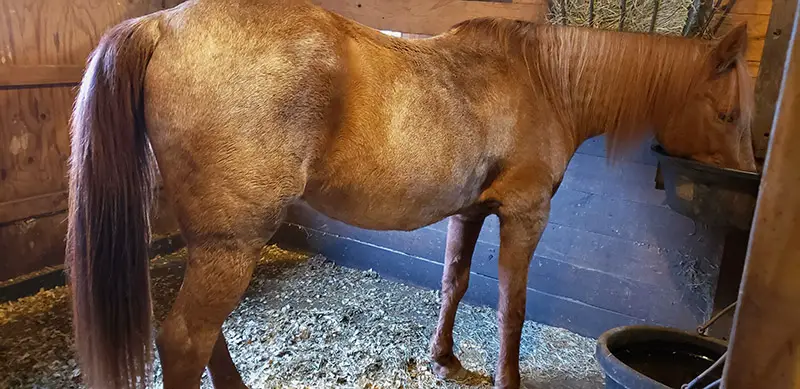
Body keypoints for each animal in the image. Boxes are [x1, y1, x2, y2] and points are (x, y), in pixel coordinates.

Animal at [67, 0, 756, 386]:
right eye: (727, 113)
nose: (749, 174)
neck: (540, 78)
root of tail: (162, 22)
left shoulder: (471, 210)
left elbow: (454, 283)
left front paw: (444, 359)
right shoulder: (526, 214)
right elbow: (512, 306)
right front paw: (507, 378)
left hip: (213, 243)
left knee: (205, 336)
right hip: (231, 243)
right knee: (185, 340)